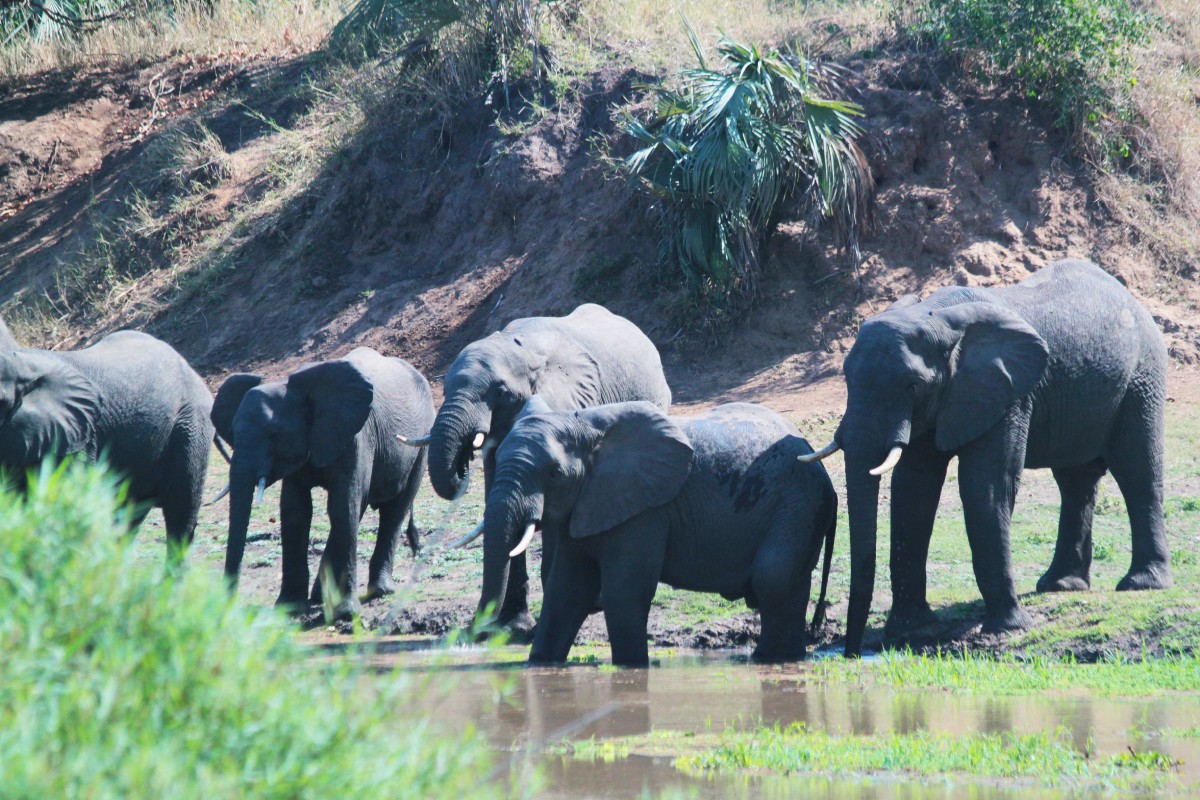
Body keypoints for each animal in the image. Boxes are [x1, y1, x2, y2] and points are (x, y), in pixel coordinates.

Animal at [212, 347, 434, 619]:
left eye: (274, 435)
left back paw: (380, 591)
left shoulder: (356, 436)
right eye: (233, 433)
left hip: (421, 442)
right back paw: (321, 595)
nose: (226, 607)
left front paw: (346, 613)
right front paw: (289, 609)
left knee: (394, 511)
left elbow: (342, 506)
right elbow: (295, 512)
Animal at [479, 397, 837, 666]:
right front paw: (539, 665)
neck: (587, 427)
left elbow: (623, 591)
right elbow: (567, 590)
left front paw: (632, 668)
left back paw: (766, 659)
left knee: (772, 580)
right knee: (788, 586)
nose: (482, 634)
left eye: (554, 474)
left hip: (795, 506)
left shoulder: (645, 510)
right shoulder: (584, 505)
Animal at [801, 259, 1171, 657]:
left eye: (912, 386)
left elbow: (986, 485)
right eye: (846, 379)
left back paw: (1143, 584)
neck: (938, 318)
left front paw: (1009, 627)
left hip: (1143, 376)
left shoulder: (1008, 394)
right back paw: (1061, 585)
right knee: (1076, 483)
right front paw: (913, 630)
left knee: (1137, 471)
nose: (850, 652)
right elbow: (914, 490)